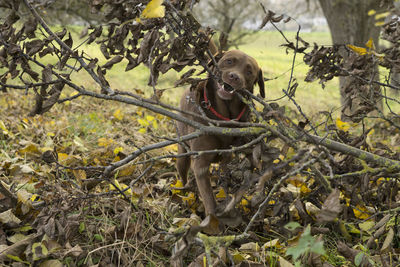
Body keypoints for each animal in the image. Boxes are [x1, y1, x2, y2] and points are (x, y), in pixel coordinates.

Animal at [176, 50, 264, 217]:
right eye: (229, 61)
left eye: (249, 72)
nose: (234, 77)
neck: (224, 117)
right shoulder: (201, 164)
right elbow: (209, 199)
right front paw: (212, 221)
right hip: (182, 155)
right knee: (183, 173)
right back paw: (184, 197)